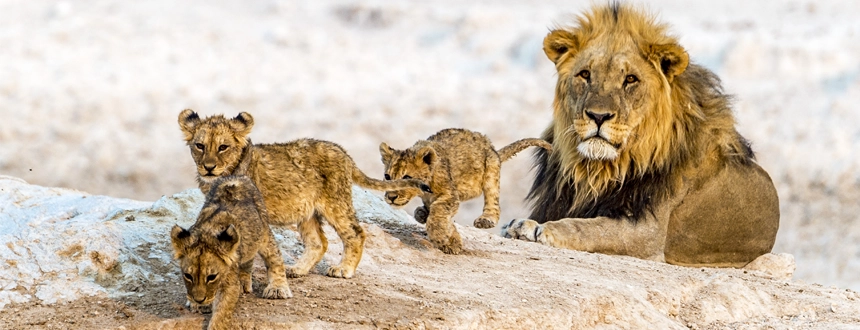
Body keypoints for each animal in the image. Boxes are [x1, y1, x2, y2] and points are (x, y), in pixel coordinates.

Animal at [504, 3, 780, 268]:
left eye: (630, 79)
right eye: (585, 74)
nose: (598, 116)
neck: (598, 170)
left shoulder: (646, 232)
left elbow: (589, 228)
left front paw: (535, 228)